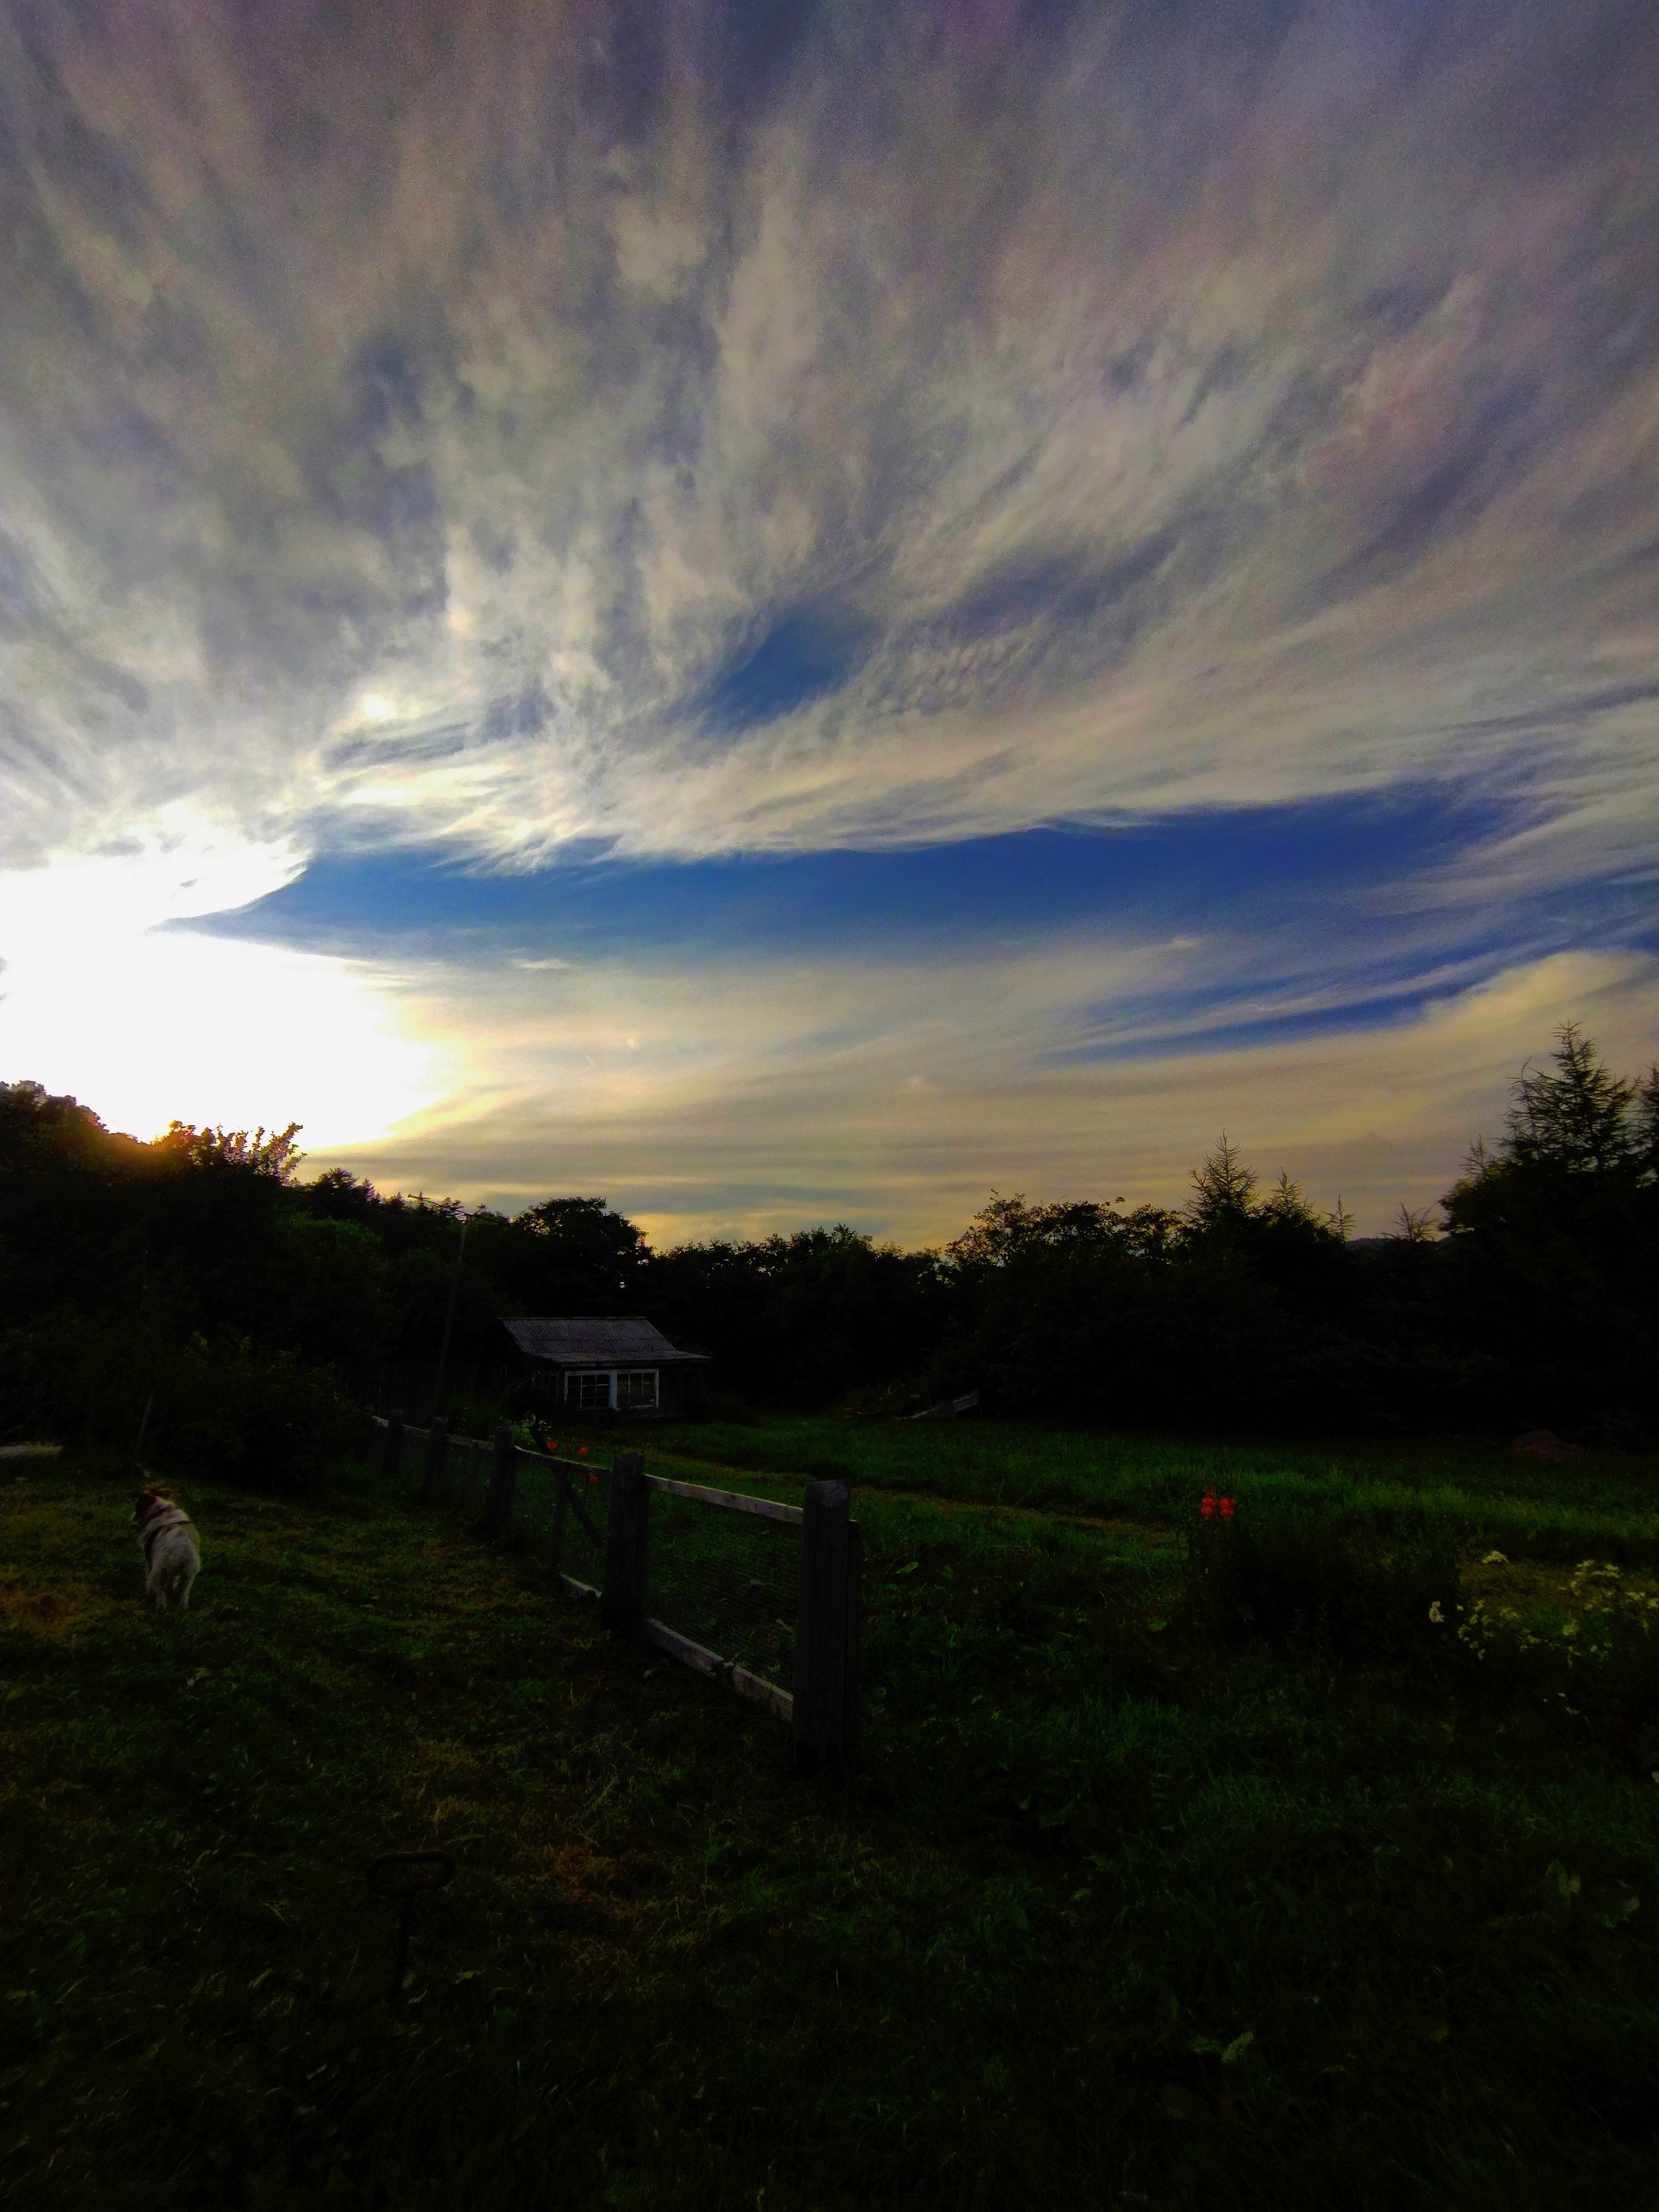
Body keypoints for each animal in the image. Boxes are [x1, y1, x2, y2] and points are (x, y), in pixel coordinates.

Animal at [134, 1486, 202, 1610]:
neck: (163, 1512)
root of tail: (181, 1548)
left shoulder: (150, 1561)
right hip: (188, 1575)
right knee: (183, 1593)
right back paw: (182, 1606)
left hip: (159, 1571)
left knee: (161, 1593)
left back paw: (159, 1606)